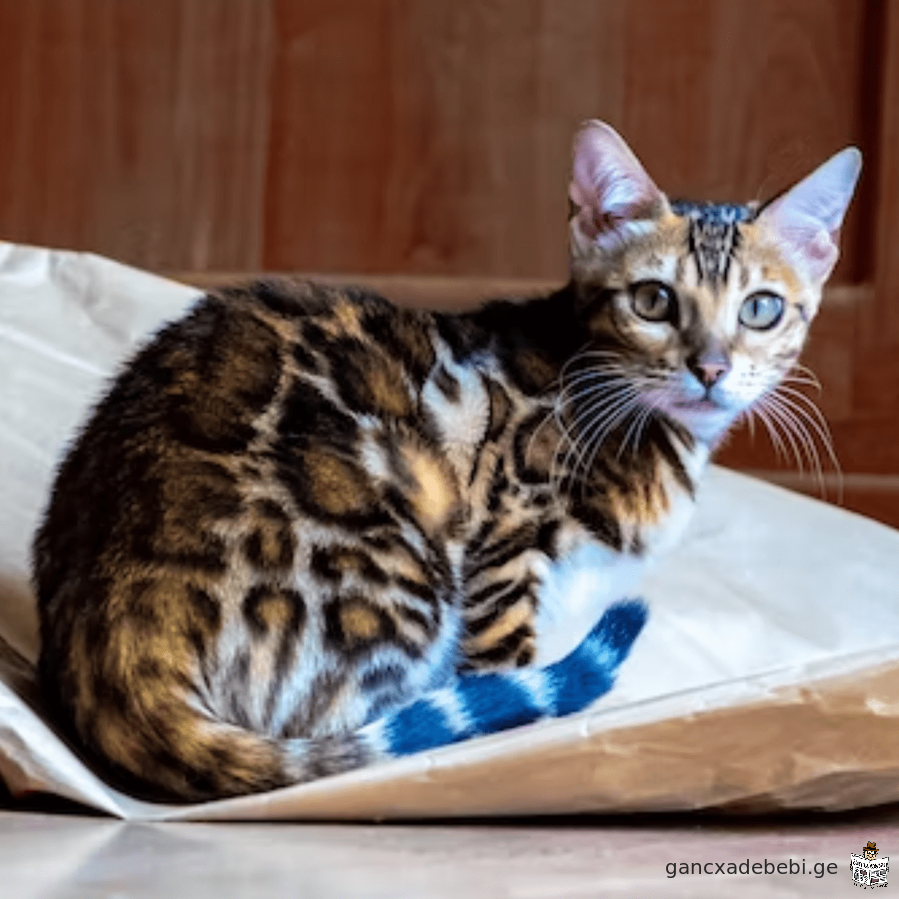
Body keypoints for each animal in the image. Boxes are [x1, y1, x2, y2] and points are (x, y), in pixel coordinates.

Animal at [35, 121, 860, 800]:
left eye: (760, 308)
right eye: (653, 300)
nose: (710, 367)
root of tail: (119, 636)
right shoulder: (508, 537)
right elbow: (507, 669)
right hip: (404, 557)